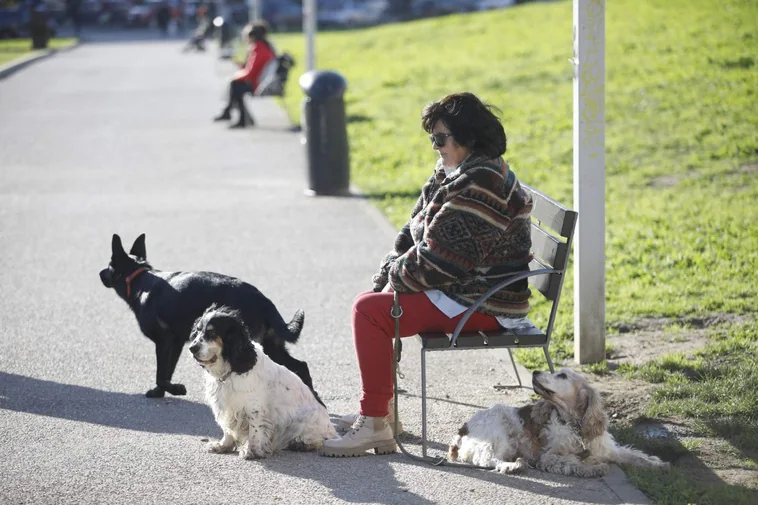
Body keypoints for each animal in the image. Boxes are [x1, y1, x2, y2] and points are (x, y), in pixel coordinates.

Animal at [99, 233, 314, 398]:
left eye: (109, 265)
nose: (100, 273)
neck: (140, 279)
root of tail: (263, 300)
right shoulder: (176, 344)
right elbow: (167, 371)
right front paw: (160, 392)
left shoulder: (164, 341)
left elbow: (161, 373)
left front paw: (174, 389)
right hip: (272, 347)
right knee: (301, 366)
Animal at [190, 304, 336, 456]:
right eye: (197, 331)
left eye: (212, 332)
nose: (192, 348)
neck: (231, 369)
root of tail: (332, 429)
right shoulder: (226, 407)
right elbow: (228, 429)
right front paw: (222, 445)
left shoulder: (254, 409)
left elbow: (254, 431)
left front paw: (251, 451)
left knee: (320, 439)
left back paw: (301, 443)